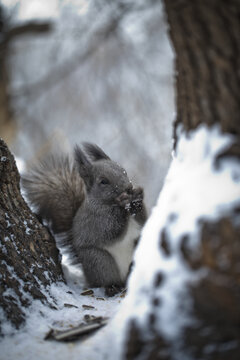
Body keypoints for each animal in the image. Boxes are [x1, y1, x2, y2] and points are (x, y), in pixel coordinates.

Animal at [21, 143, 146, 296]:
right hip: (99, 260)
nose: (128, 187)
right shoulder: (96, 221)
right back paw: (112, 287)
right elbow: (111, 232)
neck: (109, 203)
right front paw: (124, 202)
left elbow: (144, 221)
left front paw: (138, 197)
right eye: (103, 181)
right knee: (105, 279)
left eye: (123, 170)